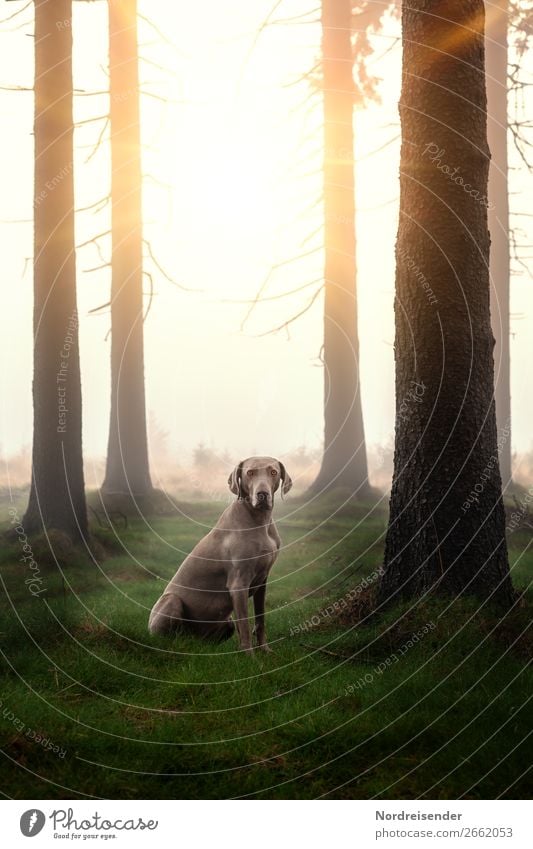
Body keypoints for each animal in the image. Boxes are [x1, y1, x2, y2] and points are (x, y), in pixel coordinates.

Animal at [149, 454, 290, 652]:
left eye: (273, 472)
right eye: (250, 473)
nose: (262, 495)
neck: (260, 521)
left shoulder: (263, 581)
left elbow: (260, 619)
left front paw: (265, 650)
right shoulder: (238, 584)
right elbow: (245, 625)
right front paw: (250, 656)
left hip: (225, 623)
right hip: (171, 601)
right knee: (167, 636)